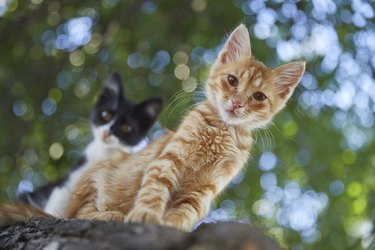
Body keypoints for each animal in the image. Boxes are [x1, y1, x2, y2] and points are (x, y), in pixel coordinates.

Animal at [18, 73, 163, 217]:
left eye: (126, 127)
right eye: (105, 115)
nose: (107, 132)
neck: (105, 152)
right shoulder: (76, 172)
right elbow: (60, 195)